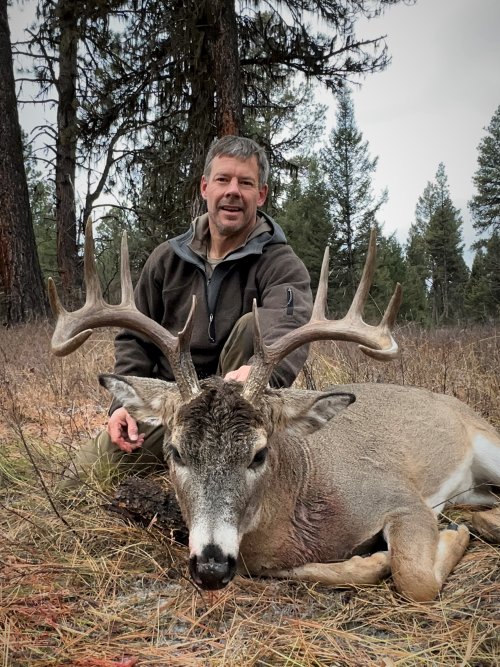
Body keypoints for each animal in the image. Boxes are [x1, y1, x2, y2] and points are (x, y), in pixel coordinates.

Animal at [48, 223, 500, 602]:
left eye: (259, 454)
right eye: (175, 452)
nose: (211, 567)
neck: (301, 497)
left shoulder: (402, 498)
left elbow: (414, 578)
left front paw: (450, 536)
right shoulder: (265, 561)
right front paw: (373, 559)